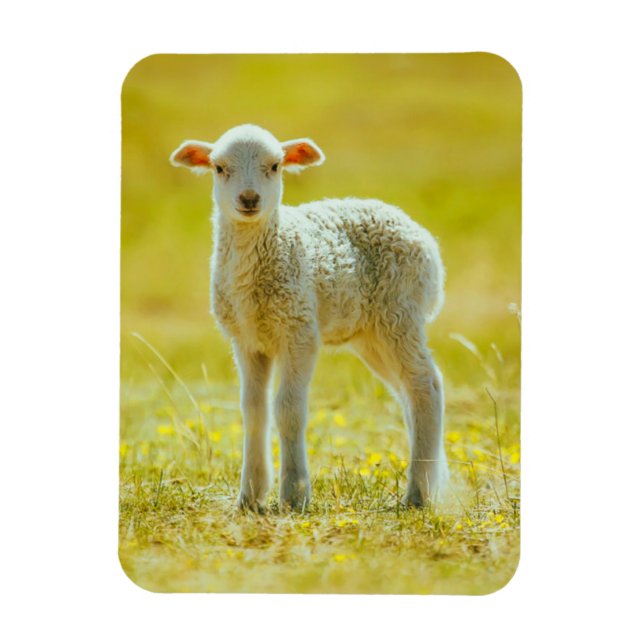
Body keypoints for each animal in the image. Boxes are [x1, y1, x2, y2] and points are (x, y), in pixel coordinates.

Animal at [170, 123, 448, 511]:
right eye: (219, 168)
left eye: (275, 166)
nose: (249, 199)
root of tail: (421, 235)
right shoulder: (246, 339)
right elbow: (253, 411)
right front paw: (250, 496)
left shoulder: (299, 330)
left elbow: (288, 410)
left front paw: (294, 495)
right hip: (371, 334)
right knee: (408, 392)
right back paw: (429, 481)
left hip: (400, 313)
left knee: (426, 386)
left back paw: (417, 495)